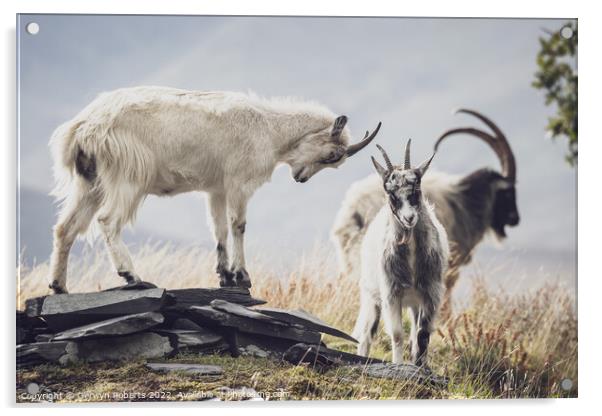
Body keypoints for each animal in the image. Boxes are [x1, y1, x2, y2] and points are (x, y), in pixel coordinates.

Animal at [49, 85, 378, 292]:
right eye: (331, 155)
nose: (301, 178)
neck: (270, 129)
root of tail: (83, 127)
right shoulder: (239, 183)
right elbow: (238, 225)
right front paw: (243, 276)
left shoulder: (216, 189)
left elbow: (218, 228)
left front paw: (225, 276)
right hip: (127, 177)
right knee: (108, 221)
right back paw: (132, 276)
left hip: (90, 181)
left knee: (66, 227)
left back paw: (59, 286)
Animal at [352, 141, 446, 366]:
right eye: (391, 194)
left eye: (416, 189)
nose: (409, 218)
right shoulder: (391, 294)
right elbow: (396, 335)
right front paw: (398, 364)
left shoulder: (430, 293)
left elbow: (422, 335)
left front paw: (421, 367)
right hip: (372, 296)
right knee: (366, 335)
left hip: (414, 303)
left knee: (414, 334)